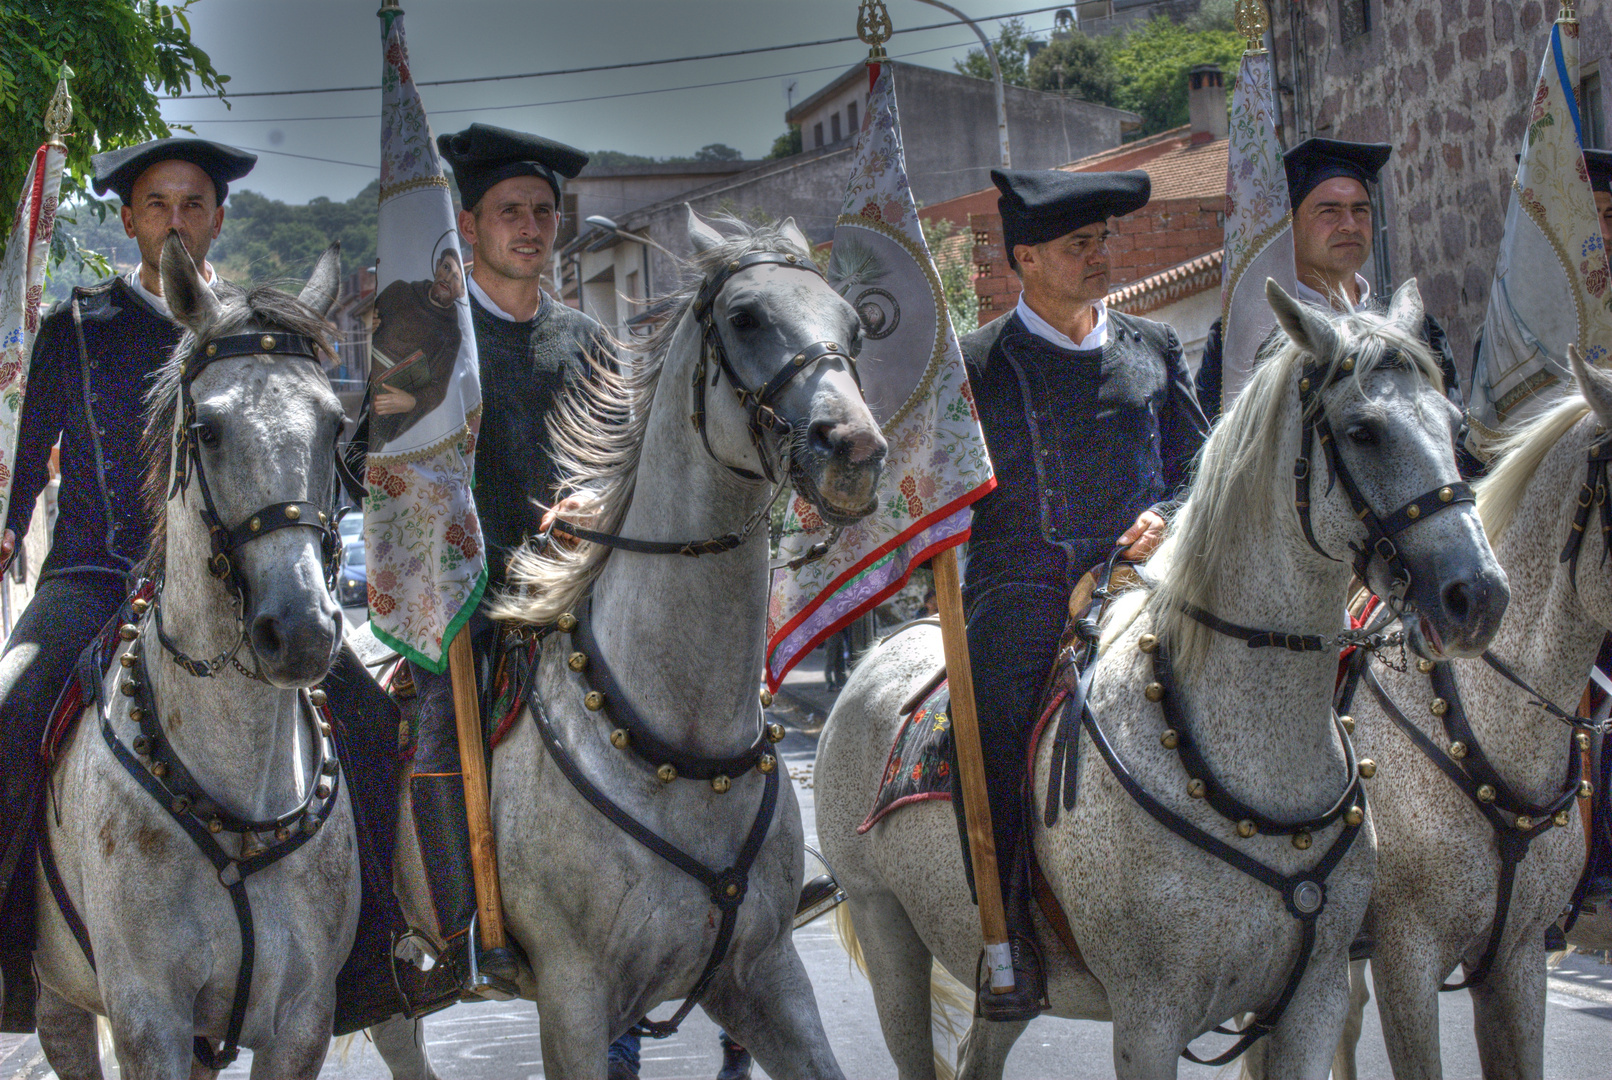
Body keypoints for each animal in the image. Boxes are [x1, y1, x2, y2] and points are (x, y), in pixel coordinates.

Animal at [30, 238, 359, 1080]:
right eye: (207, 430)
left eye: (335, 426)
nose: (300, 631)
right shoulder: (151, 1021)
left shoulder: (301, 1023)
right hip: (63, 1003)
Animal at [383, 211, 896, 1080]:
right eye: (745, 317)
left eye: (855, 328)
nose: (854, 451)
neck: (678, 744)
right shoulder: (574, 1001)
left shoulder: (765, 976)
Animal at [818, 282, 1508, 1080]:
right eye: (1363, 430)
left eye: (1455, 425)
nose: (1477, 596)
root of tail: (879, 655)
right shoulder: (1149, 1019)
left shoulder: (1312, 1001)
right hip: (887, 930)